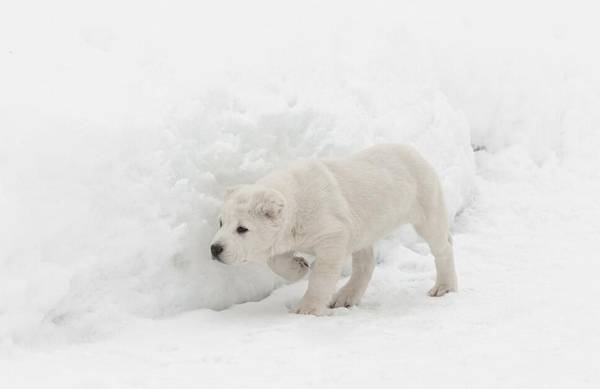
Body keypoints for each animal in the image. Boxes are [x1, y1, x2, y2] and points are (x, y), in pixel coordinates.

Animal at [209, 144, 458, 314]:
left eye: (242, 229)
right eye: (221, 223)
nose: (215, 248)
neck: (296, 203)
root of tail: (414, 151)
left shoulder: (333, 232)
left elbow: (323, 271)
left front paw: (307, 308)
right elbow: (275, 259)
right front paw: (298, 267)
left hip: (426, 199)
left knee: (442, 244)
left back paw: (444, 287)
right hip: (364, 227)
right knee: (365, 262)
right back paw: (345, 297)